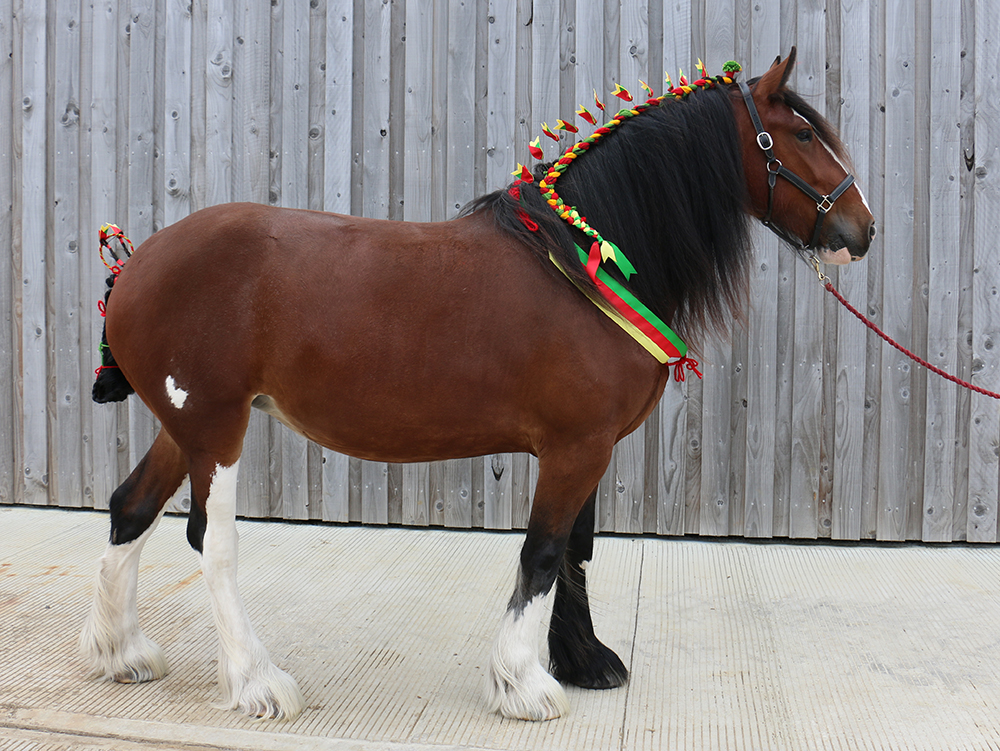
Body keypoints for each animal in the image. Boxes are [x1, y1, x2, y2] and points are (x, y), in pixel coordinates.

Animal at [80, 51, 876, 724]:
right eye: (802, 133)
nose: (861, 229)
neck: (585, 265)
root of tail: (136, 264)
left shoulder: (587, 448)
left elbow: (576, 550)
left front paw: (583, 660)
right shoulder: (575, 449)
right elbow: (544, 553)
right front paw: (522, 682)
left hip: (185, 425)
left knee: (130, 508)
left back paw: (122, 651)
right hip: (216, 427)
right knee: (210, 541)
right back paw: (255, 681)